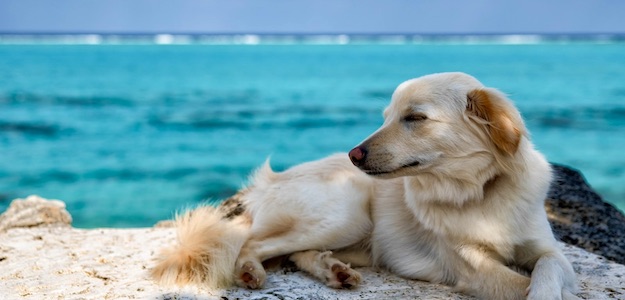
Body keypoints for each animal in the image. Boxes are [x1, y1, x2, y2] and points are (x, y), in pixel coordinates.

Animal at [152, 73, 580, 300]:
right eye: (387, 116)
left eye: (415, 118)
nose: (353, 154)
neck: (478, 191)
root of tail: (271, 180)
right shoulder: (473, 270)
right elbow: (521, 283)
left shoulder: (550, 251)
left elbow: (545, 269)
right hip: (348, 211)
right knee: (251, 244)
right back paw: (250, 272)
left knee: (296, 253)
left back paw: (334, 271)